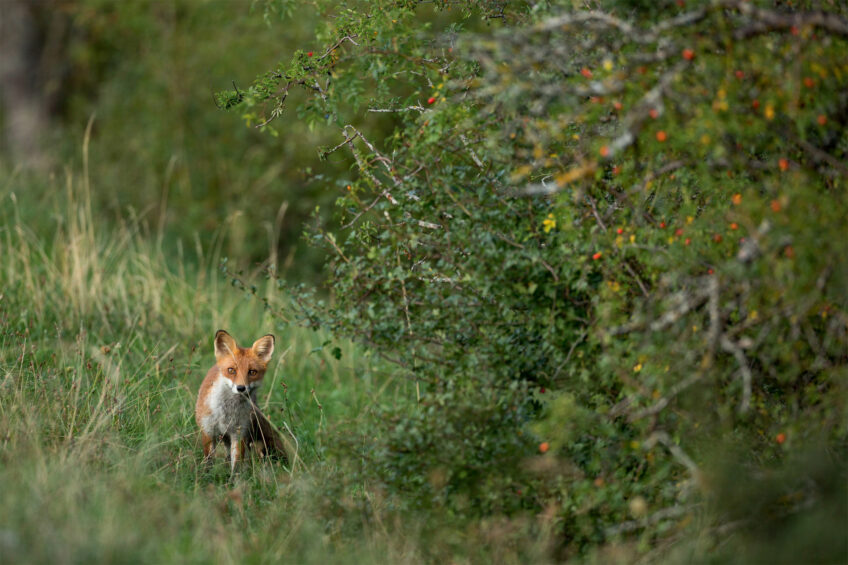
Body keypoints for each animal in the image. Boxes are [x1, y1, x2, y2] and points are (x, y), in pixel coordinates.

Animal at [195, 329, 288, 474]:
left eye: (252, 372)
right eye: (231, 370)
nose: (241, 388)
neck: (227, 411)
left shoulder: (239, 433)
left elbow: (237, 463)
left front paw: (234, 479)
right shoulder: (208, 431)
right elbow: (209, 461)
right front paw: (207, 476)